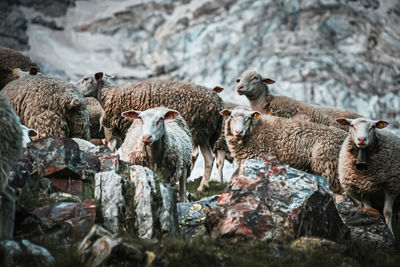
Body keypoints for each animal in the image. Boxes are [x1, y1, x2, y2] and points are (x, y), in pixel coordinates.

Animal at [76, 72, 225, 192]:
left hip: (197, 130)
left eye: (86, 79)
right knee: (210, 157)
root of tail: (218, 103)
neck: (108, 96)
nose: (75, 88)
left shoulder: (116, 131)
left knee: (198, 156)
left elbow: (113, 149)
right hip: (206, 134)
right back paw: (203, 186)